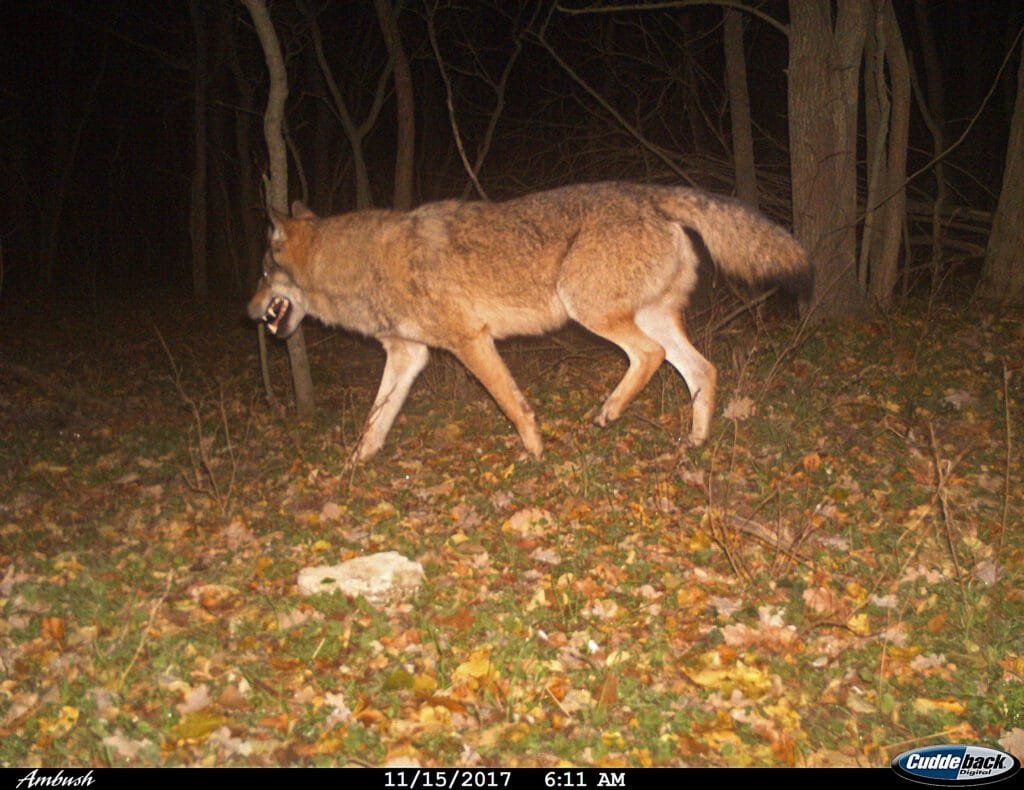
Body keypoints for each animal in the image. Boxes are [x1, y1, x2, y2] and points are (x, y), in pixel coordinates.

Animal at [248, 182, 811, 461]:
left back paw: (608, 413)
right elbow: (374, 421)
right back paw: (694, 442)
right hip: (650, 319)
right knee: (703, 370)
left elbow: (512, 405)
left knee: (649, 357)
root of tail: (651, 192)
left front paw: (536, 454)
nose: (248, 310)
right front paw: (356, 466)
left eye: (263, 273)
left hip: (593, 312)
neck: (364, 264)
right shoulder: (408, 355)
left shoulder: (471, 342)